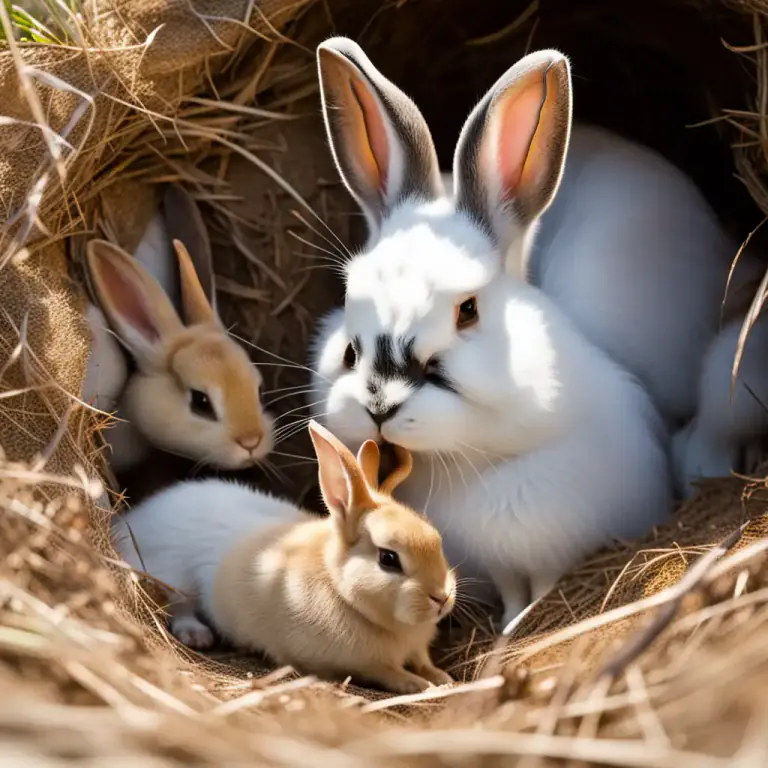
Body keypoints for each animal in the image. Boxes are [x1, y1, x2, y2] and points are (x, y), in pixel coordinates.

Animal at [112, 420, 456, 694]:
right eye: (388, 558)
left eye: (436, 538)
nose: (441, 597)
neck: (341, 592)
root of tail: (133, 520)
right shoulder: (364, 665)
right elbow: (390, 673)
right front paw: (422, 685)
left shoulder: (417, 649)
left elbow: (423, 662)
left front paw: (443, 678)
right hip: (174, 579)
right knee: (179, 607)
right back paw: (197, 634)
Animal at [307, 38, 674, 629]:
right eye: (349, 308)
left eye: (468, 310)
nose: (379, 407)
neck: (472, 464)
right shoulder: (494, 563)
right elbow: (510, 591)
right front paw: (509, 625)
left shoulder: (555, 546)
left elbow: (544, 586)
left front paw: (522, 625)